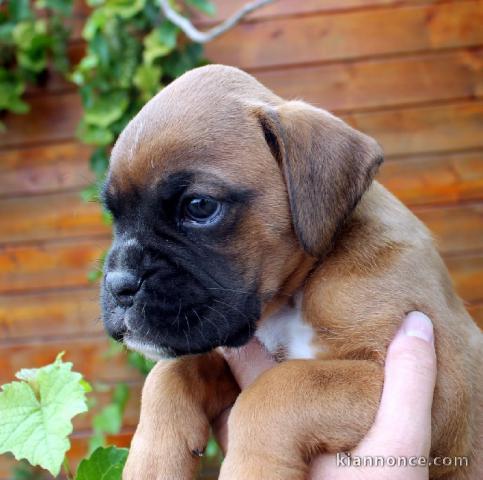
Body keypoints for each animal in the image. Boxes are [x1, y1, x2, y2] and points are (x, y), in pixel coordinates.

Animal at [100, 64, 482, 480]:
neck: (296, 295)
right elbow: (173, 373)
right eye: (113, 214)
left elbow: (280, 387)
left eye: (199, 206)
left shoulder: (438, 393)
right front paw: (152, 460)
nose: (119, 285)